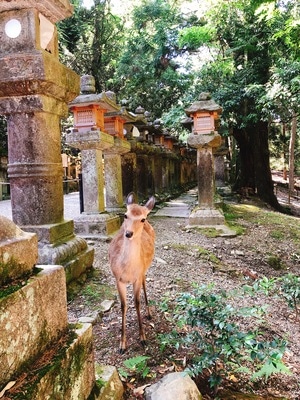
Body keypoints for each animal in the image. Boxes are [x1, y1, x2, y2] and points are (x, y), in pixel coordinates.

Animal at [109, 194, 156, 354]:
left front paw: (143, 338)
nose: (128, 233)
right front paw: (122, 345)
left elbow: (136, 302)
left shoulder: (137, 277)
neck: (128, 270)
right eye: (125, 215)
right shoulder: (118, 279)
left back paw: (149, 313)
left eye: (142, 219)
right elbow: (123, 306)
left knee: (144, 281)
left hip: (145, 268)